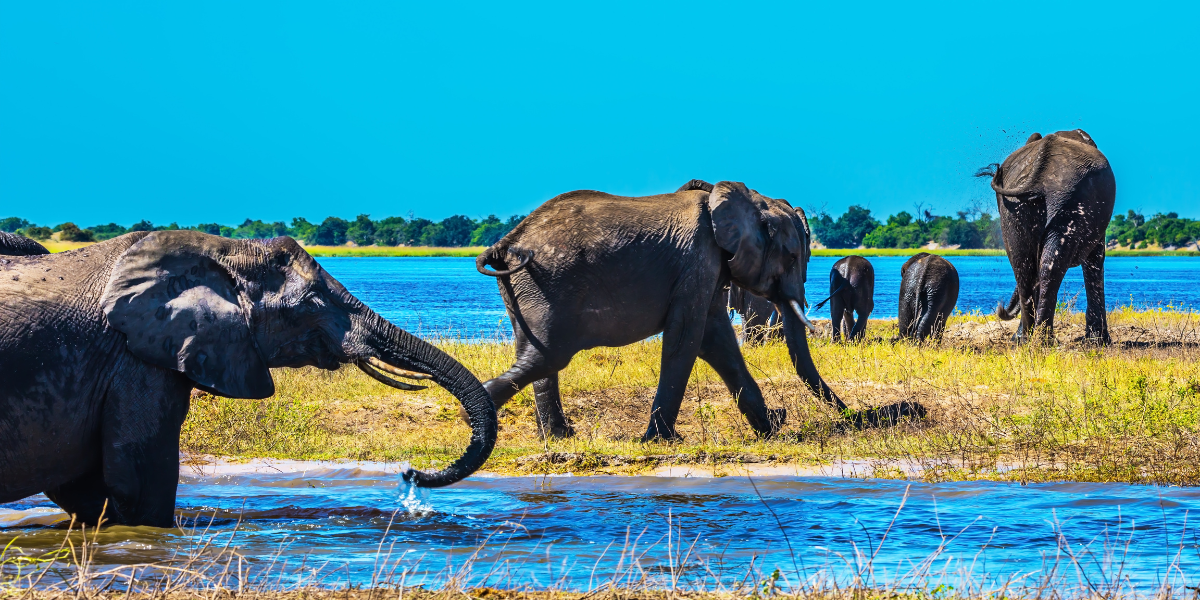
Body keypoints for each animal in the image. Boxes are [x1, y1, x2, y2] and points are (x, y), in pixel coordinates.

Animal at [0, 231, 497, 527]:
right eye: (312, 302)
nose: (410, 471)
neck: (220, 249)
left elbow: (89, 490)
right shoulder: (134, 360)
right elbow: (138, 482)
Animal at [475, 179, 846, 441]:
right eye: (793, 257)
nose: (849, 416)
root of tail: (505, 243)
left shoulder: (709, 269)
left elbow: (716, 339)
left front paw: (769, 428)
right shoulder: (698, 259)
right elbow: (686, 338)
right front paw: (663, 440)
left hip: (524, 287)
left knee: (534, 352)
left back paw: (558, 437)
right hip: (549, 283)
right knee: (550, 353)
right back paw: (476, 415)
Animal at [976, 129, 1116, 343]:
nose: (1001, 309)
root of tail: (1040, 171)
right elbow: (1095, 258)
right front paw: (1098, 342)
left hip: (1018, 208)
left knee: (1023, 265)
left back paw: (1026, 340)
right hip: (1070, 201)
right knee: (1048, 265)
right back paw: (1043, 341)